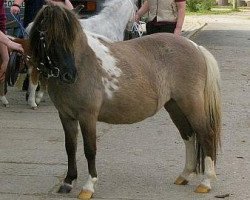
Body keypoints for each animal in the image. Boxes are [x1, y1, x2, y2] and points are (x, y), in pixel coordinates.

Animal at [28, 3, 222, 199]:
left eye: (71, 37)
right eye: (48, 37)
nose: (69, 75)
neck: (82, 62)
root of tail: (195, 47)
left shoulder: (87, 116)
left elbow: (90, 149)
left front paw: (88, 186)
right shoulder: (66, 116)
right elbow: (70, 147)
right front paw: (68, 182)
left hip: (191, 103)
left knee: (206, 134)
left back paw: (206, 182)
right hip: (175, 106)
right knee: (188, 135)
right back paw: (184, 175)